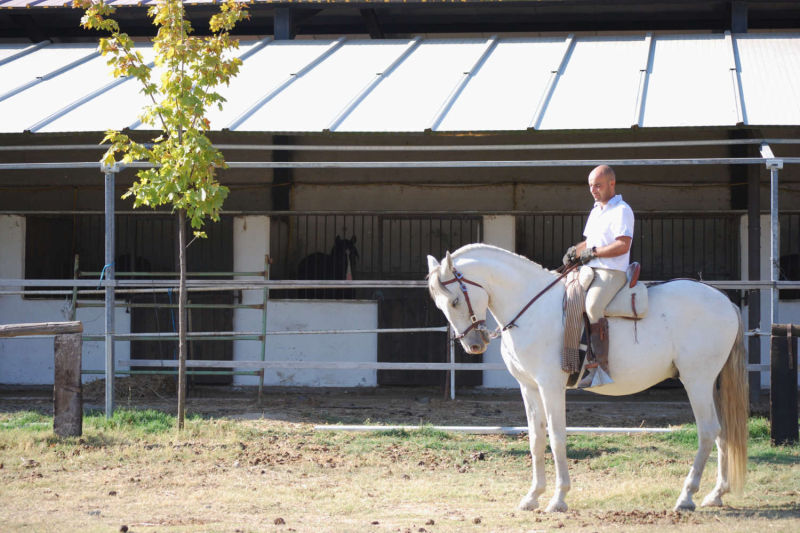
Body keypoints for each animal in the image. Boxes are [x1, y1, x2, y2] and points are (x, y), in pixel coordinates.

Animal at [428, 244, 748, 512]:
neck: (533, 308)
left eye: (455, 301)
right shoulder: (528, 387)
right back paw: (716, 494)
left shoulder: (550, 385)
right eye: (441, 305)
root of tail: (724, 301)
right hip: (713, 384)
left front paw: (558, 499)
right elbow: (535, 439)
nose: (474, 345)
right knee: (722, 433)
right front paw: (532, 497)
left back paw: (686, 497)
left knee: (707, 431)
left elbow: (557, 438)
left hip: (697, 380)